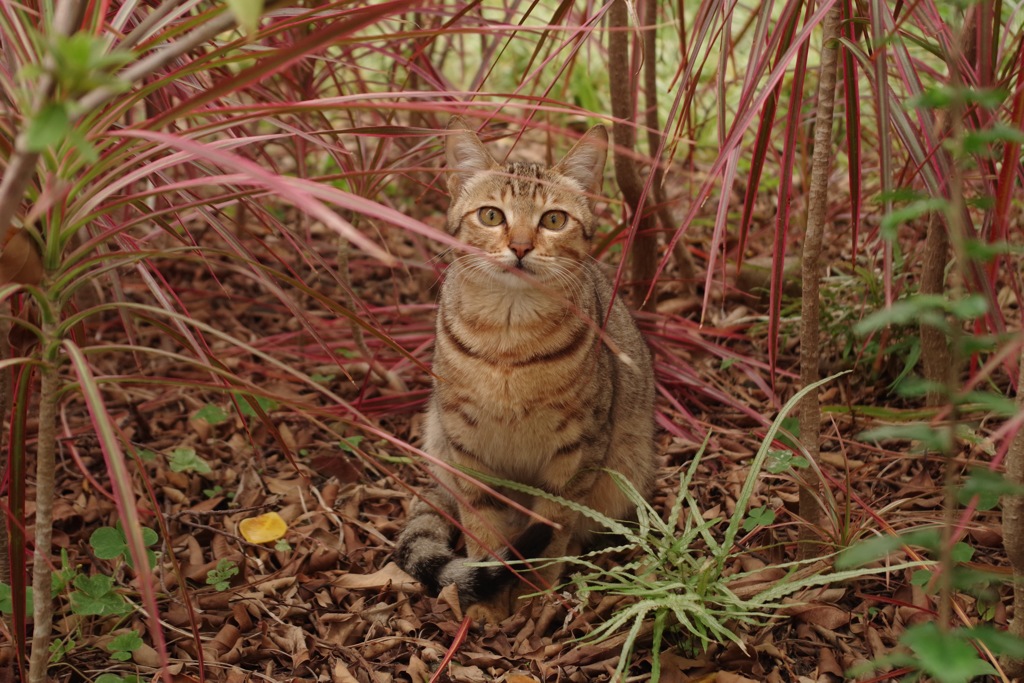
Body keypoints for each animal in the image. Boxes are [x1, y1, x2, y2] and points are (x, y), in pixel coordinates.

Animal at [391, 118, 655, 626]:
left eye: (553, 220)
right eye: (492, 215)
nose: (519, 246)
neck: (508, 343)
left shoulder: (576, 450)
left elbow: (553, 528)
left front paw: (534, 598)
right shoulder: (466, 444)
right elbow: (483, 530)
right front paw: (488, 600)